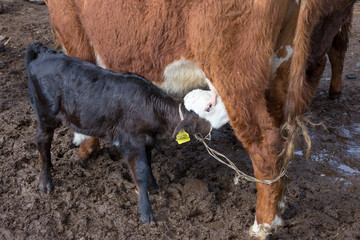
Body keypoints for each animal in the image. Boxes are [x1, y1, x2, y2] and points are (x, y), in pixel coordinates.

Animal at [43, 0, 356, 239]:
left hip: (236, 77)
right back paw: (279, 204)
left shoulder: (71, 27)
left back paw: (264, 223)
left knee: (265, 144)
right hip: (282, 67)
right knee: (282, 136)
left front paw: (84, 148)